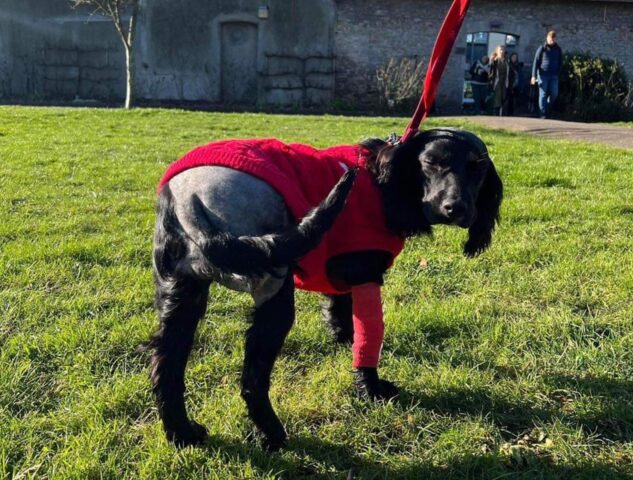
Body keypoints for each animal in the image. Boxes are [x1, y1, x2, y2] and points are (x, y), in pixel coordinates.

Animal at [148, 126, 504, 450]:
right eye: (431, 162)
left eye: (477, 168)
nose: (456, 208)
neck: (385, 183)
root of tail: (189, 200)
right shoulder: (366, 276)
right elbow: (369, 339)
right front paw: (371, 388)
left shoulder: (342, 279)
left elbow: (342, 316)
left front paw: (344, 341)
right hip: (274, 294)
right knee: (252, 381)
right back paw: (273, 435)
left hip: (182, 297)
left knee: (166, 372)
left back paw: (183, 433)